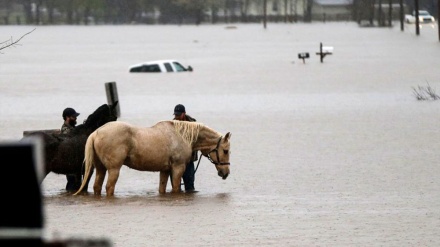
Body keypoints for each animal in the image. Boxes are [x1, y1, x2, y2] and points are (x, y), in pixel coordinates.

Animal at [73, 120, 230, 196]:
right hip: (114, 169)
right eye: (226, 150)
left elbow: (162, 188)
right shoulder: (178, 168)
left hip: (101, 169)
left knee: (97, 187)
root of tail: (96, 133)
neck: (181, 136)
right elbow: (176, 187)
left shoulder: (165, 170)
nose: (226, 173)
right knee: (109, 187)